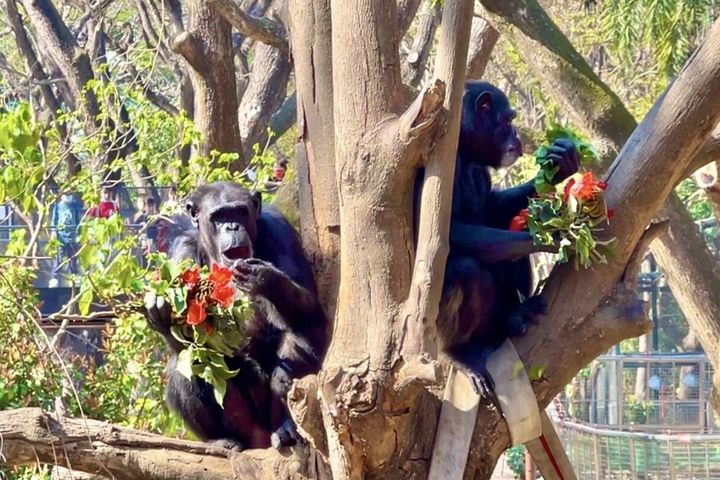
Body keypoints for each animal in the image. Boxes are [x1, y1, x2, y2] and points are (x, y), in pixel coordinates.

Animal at [144, 180, 330, 450]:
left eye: (240, 212)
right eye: (219, 216)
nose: (232, 226)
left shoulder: (279, 230)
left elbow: (309, 305)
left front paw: (263, 277)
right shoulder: (181, 254)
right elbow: (191, 339)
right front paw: (161, 310)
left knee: (302, 334)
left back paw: (287, 428)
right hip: (248, 429)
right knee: (187, 364)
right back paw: (223, 440)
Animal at [416, 82, 580, 396]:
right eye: (508, 120)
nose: (516, 135)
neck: (465, 148)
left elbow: (493, 208)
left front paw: (561, 162)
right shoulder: (434, 161)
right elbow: (444, 233)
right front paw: (550, 236)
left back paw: (516, 315)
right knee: (464, 269)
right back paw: (459, 353)